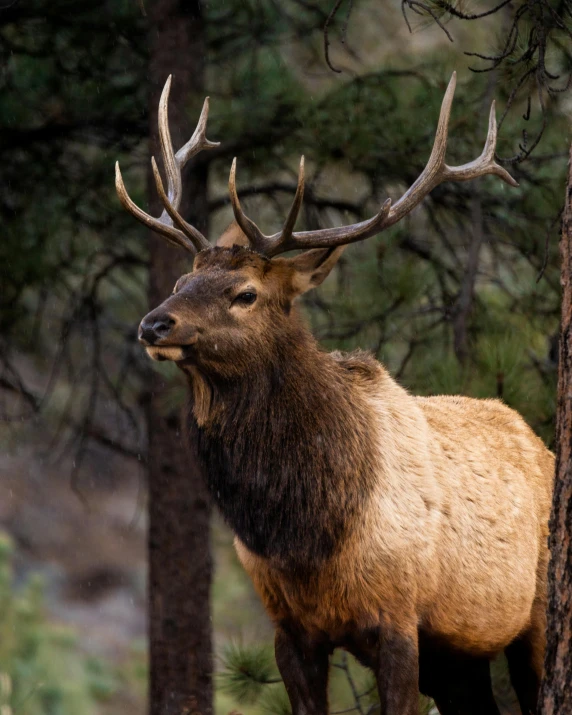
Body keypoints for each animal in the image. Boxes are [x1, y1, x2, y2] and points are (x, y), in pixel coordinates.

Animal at [117, 74, 556, 715]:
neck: (306, 533)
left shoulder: (400, 620)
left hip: (536, 617)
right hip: (460, 657)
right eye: (181, 280)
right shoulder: (291, 629)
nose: (153, 325)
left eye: (244, 293)